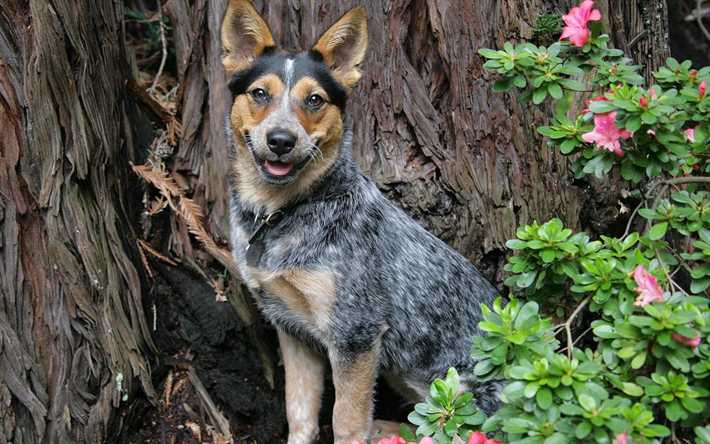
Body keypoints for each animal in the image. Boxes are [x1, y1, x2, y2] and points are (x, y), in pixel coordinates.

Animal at [222, 1, 506, 442]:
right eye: (259, 94)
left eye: (315, 100)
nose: (281, 140)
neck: (281, 213)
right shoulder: (292, 328)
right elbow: (299, 411)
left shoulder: (357, 332)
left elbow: (346, 420)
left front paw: (356, 428)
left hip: (461, 394)